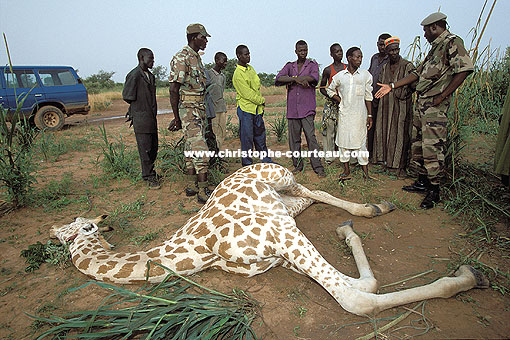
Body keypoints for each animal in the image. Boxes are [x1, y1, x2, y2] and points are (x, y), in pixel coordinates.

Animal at [51, 163, 490, 314]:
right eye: (71, 232)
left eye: (86, 227)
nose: (104, 225)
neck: (201, 251)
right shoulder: (278, 251)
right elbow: (360, 285)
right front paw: (349, 232)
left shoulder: (284, 237)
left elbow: (358, 296)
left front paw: (467, 276)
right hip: (283, 203)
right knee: (309, 197)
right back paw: (363, 214)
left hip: (280, 175)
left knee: (312, 185)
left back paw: (370, 209)